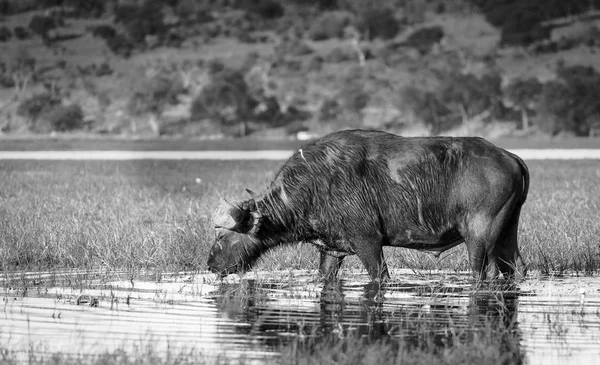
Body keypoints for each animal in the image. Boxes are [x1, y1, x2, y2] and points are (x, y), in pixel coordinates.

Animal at [207, 130, 528, 282]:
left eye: (223, 235)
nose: (210, 265)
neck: (315, 185)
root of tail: (509, 156)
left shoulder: (368, 243)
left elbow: (379, 276)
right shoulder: (332, 250)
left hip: (479, 237)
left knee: (484, 273)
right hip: (506, 233)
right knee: (517, 269)